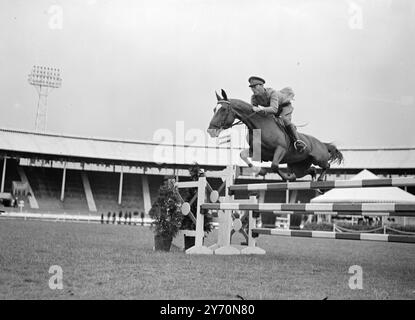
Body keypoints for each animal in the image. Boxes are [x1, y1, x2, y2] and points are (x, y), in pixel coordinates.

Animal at [208, 89, 344, 181]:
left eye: (223, 109)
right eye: (214, 110)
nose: (210, 131)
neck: (259, 126)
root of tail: (323, 144)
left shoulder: (280, 149)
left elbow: (274, 166)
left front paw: (286, 177)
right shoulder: (257, 151)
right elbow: (242, 155)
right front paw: (261, 171)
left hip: (319, 158)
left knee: (326, 165)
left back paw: (319, 180)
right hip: (298, 165)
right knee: (310, 170)